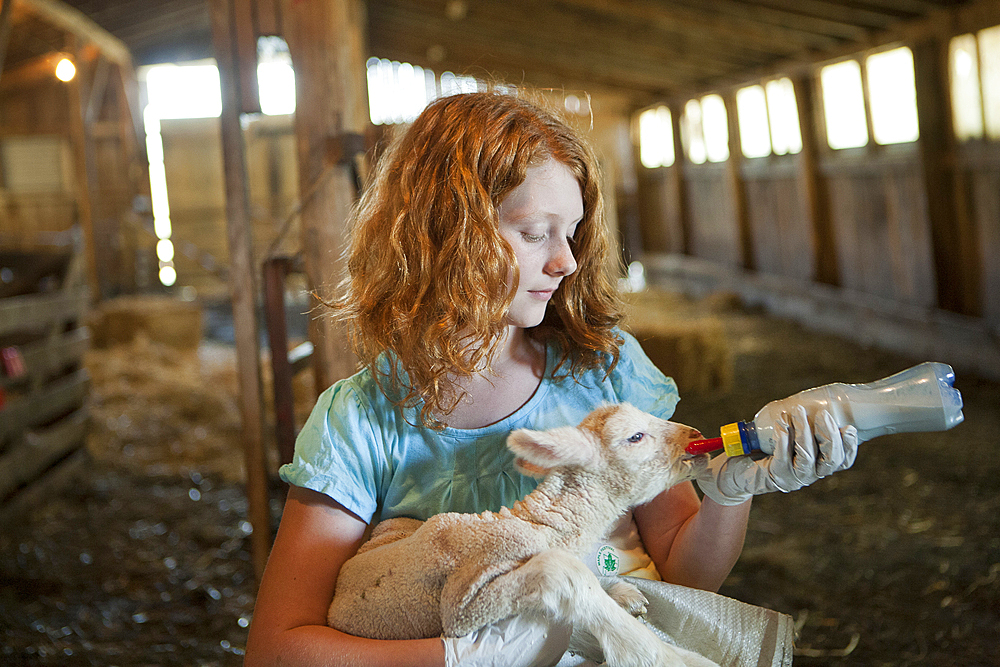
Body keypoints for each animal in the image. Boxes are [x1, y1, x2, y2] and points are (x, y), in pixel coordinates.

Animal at [328, 402, 720, 667]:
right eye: (635, 436)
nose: (698, 437)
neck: (535, 526)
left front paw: (624, 596)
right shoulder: (464, 602)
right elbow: (565, 573)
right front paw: (661, 655)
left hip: (398, 524)